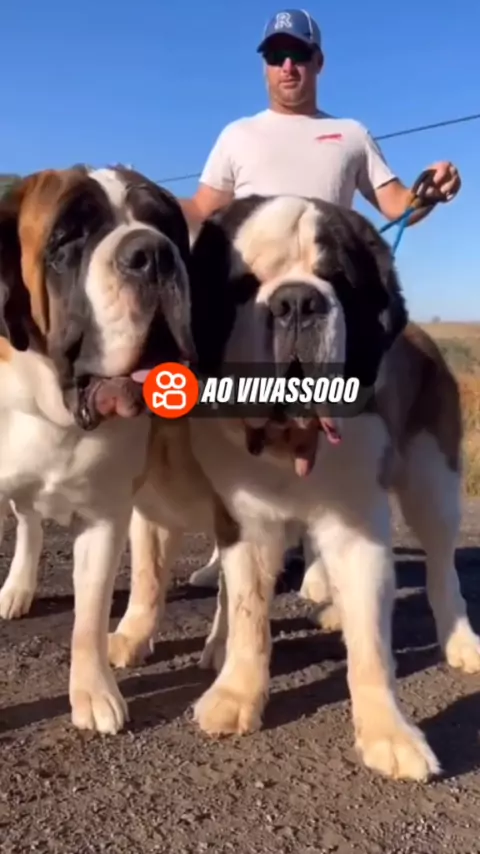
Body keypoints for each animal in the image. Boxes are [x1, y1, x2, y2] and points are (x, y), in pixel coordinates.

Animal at [0, 164, 196, 734]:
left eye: (165, 226)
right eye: (68, 237)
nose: (153, 254)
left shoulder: (106, 516)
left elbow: (88, 615)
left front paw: (93, 693)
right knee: (29, 524)